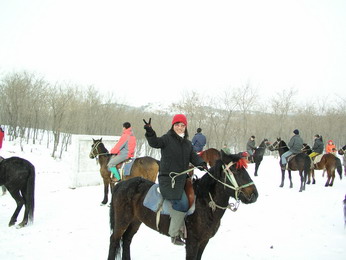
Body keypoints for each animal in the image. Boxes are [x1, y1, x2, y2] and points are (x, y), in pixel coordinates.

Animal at [107, 150, 258, 260]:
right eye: (236, 171)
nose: (254, 195)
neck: (205, 204)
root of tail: (121, 184)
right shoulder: (192, 242)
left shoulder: (204, 242)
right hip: (122, 220)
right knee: (114, 240)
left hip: (135, 220)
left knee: (126, 240)